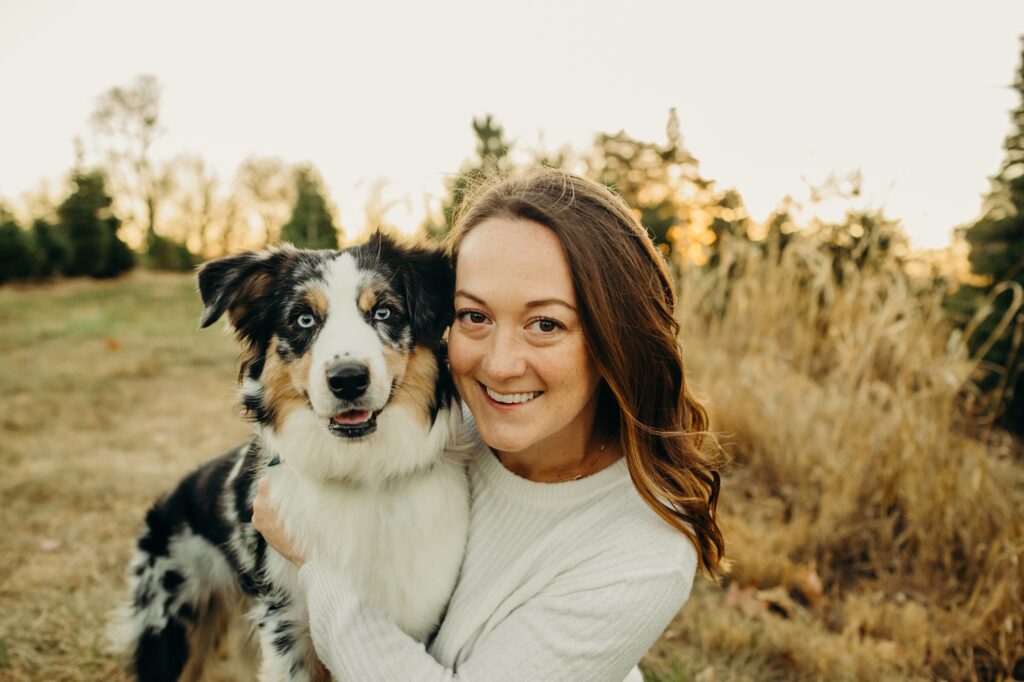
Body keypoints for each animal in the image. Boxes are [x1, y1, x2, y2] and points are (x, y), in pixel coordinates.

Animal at [110, 232, 468, 679]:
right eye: (303, 320)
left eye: (384, 312)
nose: (348, 379)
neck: (359, 474)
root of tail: (171, 498)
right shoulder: (286, 624)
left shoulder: (416, 614)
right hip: (170, 629)